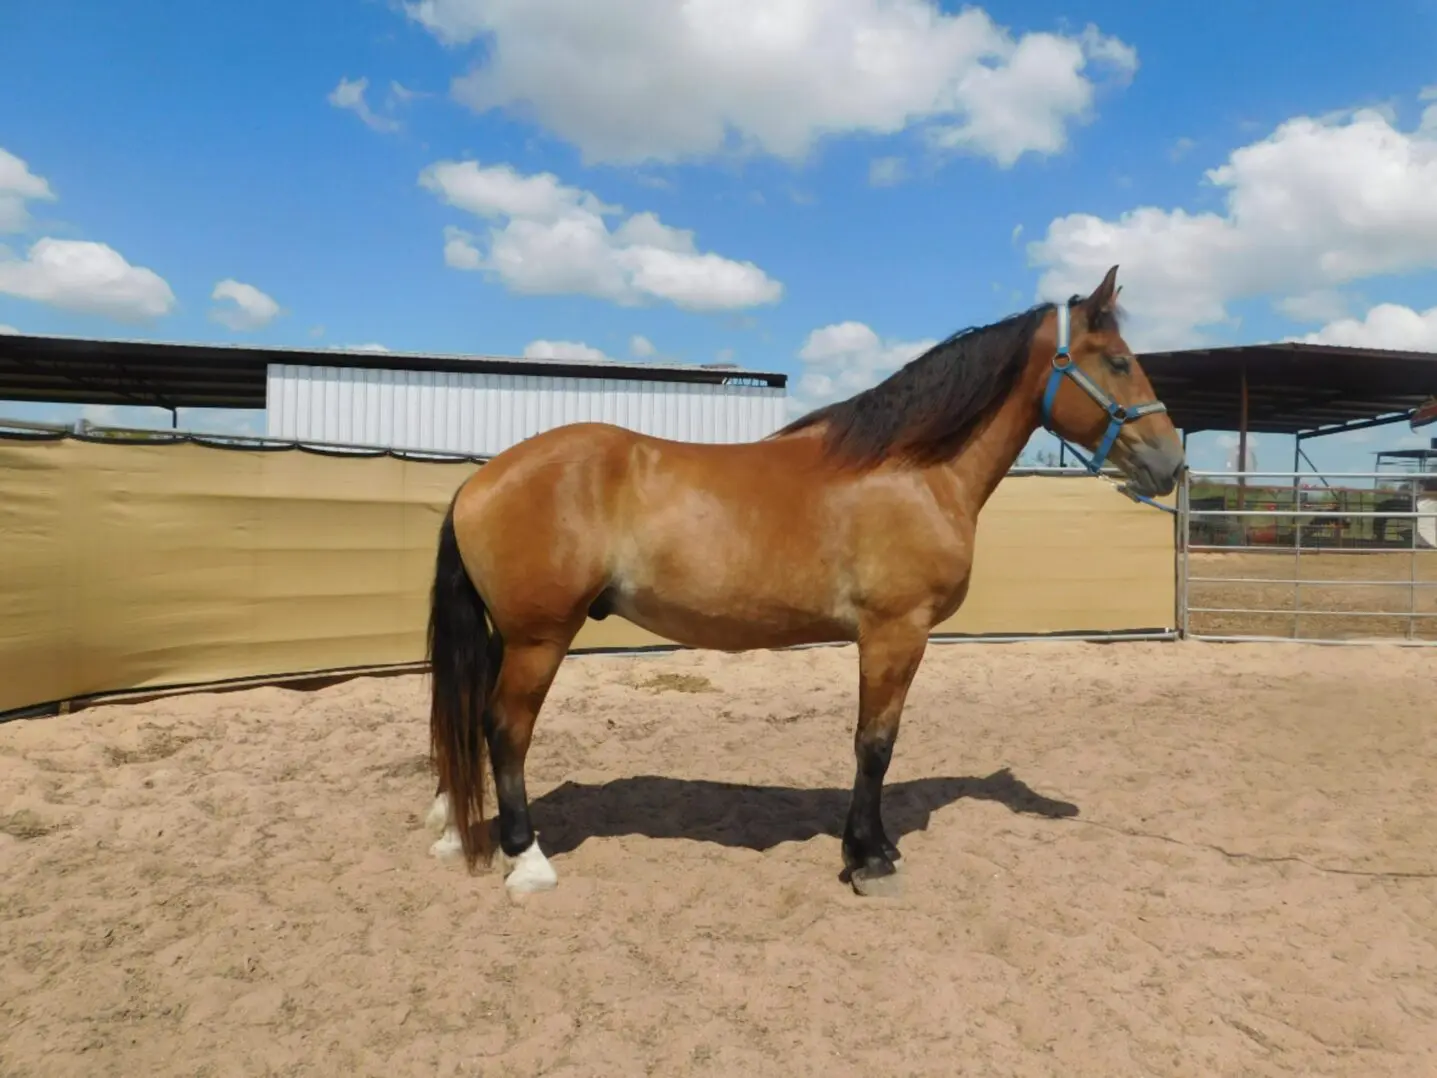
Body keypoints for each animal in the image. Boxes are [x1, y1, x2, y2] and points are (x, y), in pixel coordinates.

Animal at [422, 265, 1185, 898]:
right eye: (1118, 361)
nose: (1171, 463)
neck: (912, 472)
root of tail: (481, 479)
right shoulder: (894, 632)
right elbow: (875, 743)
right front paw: (869, 858)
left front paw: (873, 849)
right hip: (538, 638)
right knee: (506, 729)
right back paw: (527, 860)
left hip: (509, 635)